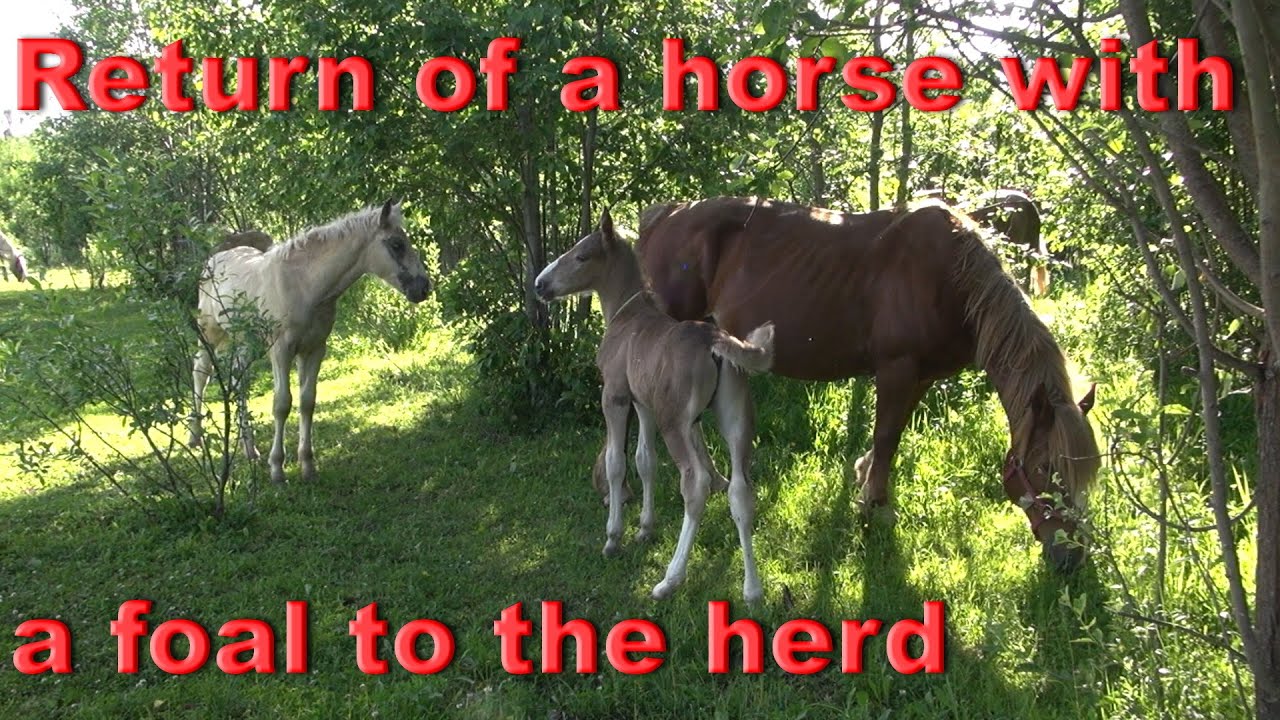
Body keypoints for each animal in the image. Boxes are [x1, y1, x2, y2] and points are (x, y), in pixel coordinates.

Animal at [189, 200, 432, 484]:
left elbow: (307, 401)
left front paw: (307, 465)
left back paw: (249, 449)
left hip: (246, 342)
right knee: (200, 372)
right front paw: (277, 469)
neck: (305, 285)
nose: (424, 288)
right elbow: (282, 404)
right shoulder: (281, 351)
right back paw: (195, 437)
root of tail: (213, 260)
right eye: (396, 244)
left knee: (238, 382)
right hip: (209, 333)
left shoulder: (315, 348)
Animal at [535, 208, 775, 603]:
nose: (540, 284)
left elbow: (617, 463)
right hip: (736, 418)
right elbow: (645, 460)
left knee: (696, 484)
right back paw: (752, 590)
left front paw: (614, 537)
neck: (625, 316)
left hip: (674, 421)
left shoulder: (615, 396)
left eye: (581, 256)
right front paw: (645, 529)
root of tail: (715, 341)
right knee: (741, 490)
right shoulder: (643, 403)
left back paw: (670, 579)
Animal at [635, 196, 1100, 571]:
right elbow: (887, 436)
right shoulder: (896, 370)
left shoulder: (919, 377)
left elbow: (889, 437)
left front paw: (865, 483)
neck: (951, 281)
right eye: (1045, 470)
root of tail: (664, 215)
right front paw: (873, 507)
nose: (1071, 557)